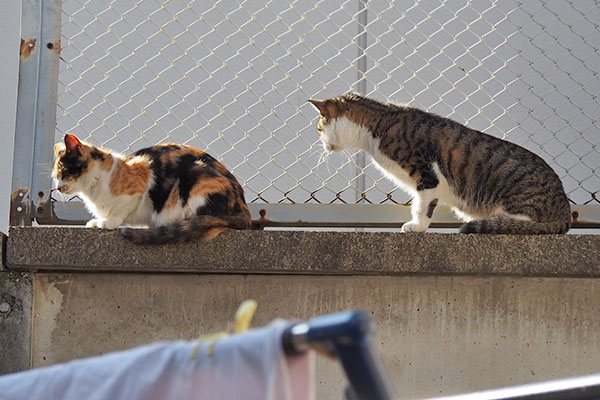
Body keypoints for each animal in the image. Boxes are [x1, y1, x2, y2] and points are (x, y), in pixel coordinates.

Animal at [52, 134, 252, 244]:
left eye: (64, 172)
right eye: (55, 176)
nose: (58, 187)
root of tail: (244, 209)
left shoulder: (141, 181)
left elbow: (119, 211)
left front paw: (108, 222)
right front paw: (97, 221)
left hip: (199, 180)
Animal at [310, 94, 572, 234]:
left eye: (320, 129)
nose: (322, 145)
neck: (380, 123)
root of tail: (565, 212)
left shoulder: (426, 176)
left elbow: (421, 206)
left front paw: (416, 227)